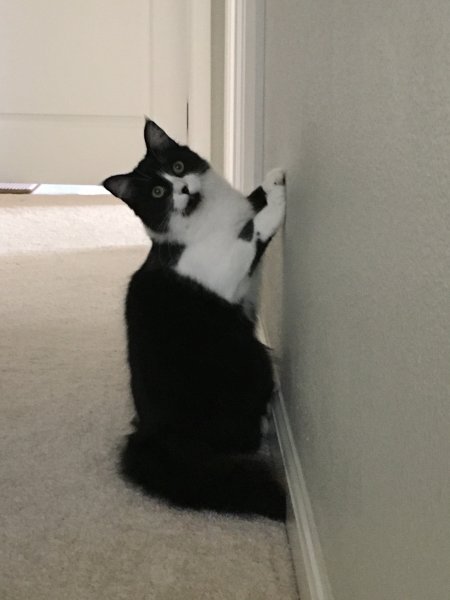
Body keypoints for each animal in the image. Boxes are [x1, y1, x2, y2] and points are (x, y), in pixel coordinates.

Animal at [103, 119, 286, 520]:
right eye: (158, 192)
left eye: (177, 167)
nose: (183, 188)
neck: (212, 218)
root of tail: (151, 434)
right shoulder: (224, 274)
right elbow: (253, 232)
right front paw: (277, 202)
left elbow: (251, 202)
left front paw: (271, 181)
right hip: (252, 358)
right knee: (244, 438)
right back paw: (266, 419)